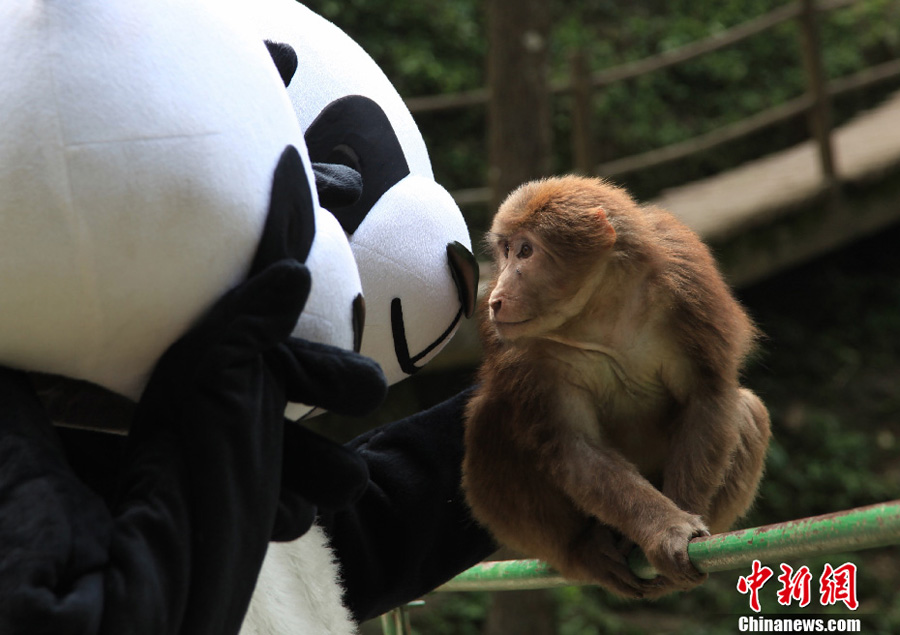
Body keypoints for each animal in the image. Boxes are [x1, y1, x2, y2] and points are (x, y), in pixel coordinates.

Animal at [464, 176, 768, 600]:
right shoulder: (519, 348)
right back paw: (582, 548)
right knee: (490, 422)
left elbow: (707, 396)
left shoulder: (687, 276)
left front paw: (681, 527)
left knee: (746, 409)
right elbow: (574, 445)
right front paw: (667, 528)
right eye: (505, 251)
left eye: (526, 250)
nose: (495, 298)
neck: (597, 307)